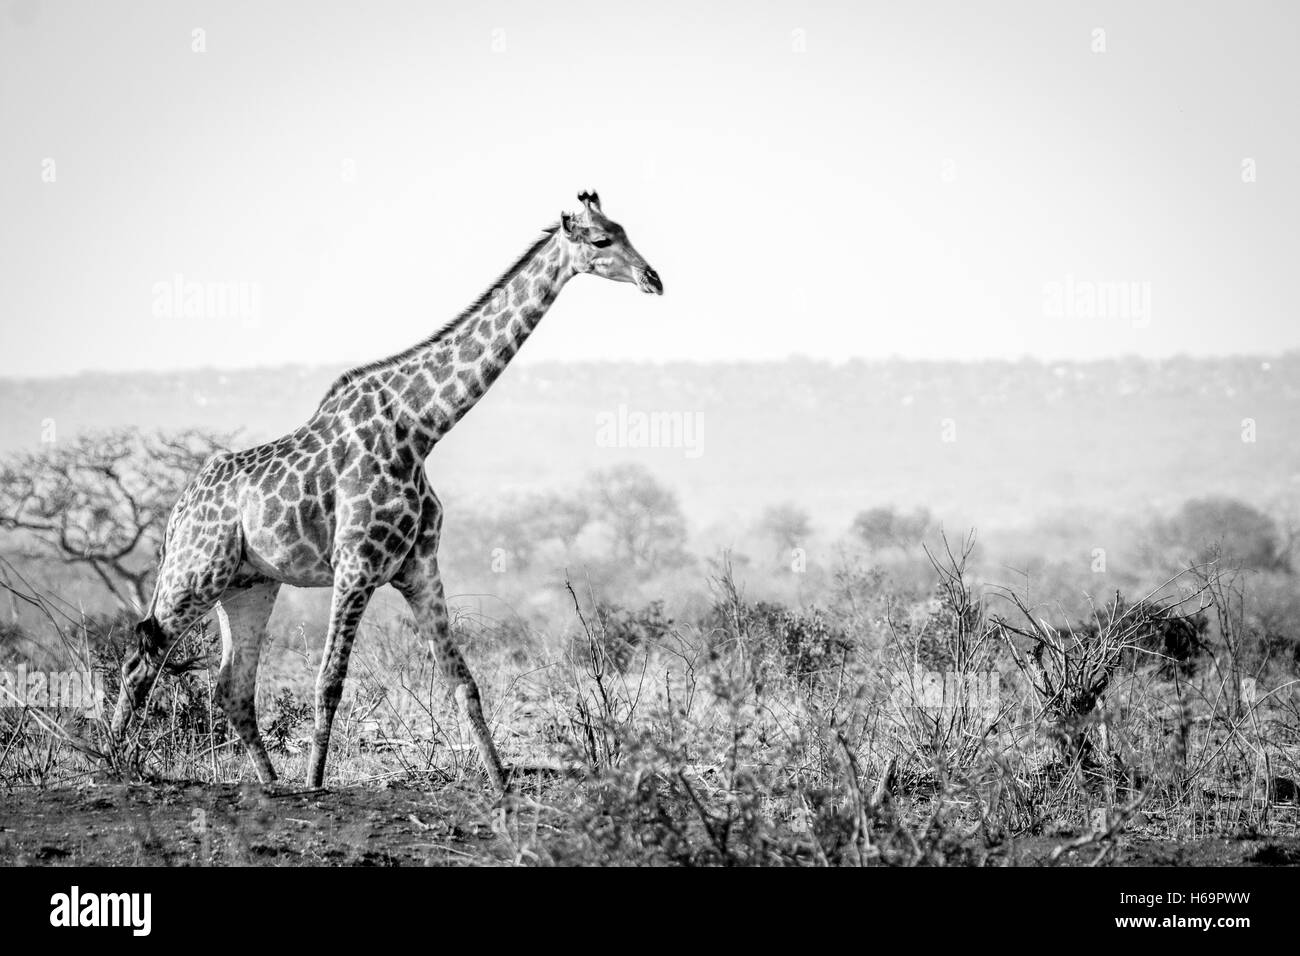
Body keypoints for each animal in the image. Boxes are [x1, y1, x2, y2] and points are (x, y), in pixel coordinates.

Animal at [110, 192, 662, 794]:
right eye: (602, 239)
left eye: (624, 229)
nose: (653, 278)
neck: (421, 428)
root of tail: (177, 510)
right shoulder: (354, 566)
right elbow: (329, 680)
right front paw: (315, 784)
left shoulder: (419, 568)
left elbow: (463, 681)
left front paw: (501, 784)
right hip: (194, 573)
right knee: (142, 654)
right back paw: (114, 764)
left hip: (249, 584)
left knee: (231, 685)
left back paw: (268, 782)